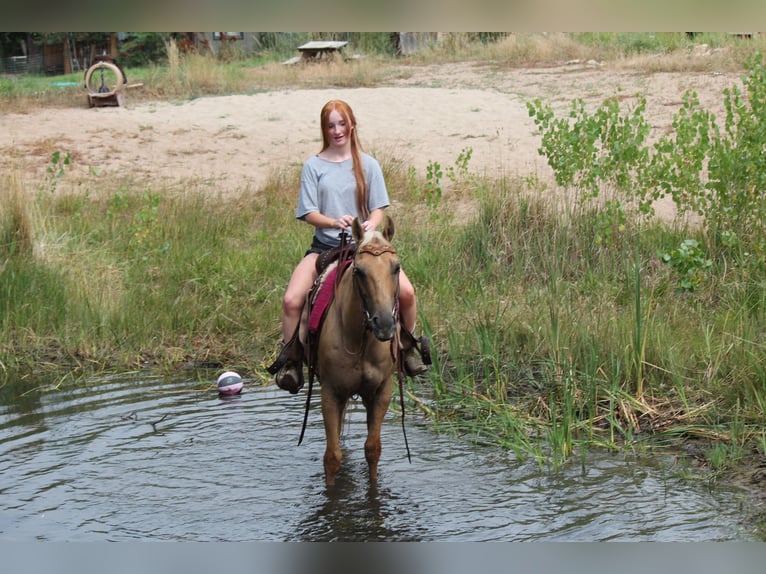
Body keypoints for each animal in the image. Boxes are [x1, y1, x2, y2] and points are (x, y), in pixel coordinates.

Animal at [310, 215, 402, 487]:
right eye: (359, 271)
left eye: (396, 268)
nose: (384, 324)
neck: (360, 343)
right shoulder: (330, 393)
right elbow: (332, 457)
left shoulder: (381, 392)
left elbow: (373, 449)